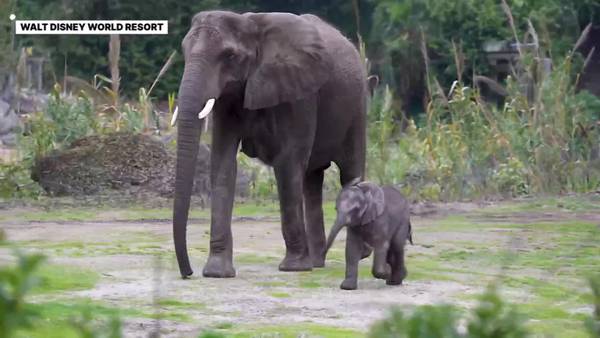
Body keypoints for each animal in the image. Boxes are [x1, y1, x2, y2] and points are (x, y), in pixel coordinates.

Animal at [171, 11, 368, 280]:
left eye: (229, 56)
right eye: (184, 50)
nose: (188, 272)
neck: (252, 26)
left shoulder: (299, 94)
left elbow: (287, 163)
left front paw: (293, 268)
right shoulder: (228, 99)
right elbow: (223, 163)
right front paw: (217, 273)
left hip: (357, 108)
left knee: (349, 173)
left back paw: (358, 256)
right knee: (312, 180)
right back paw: (316, 262)